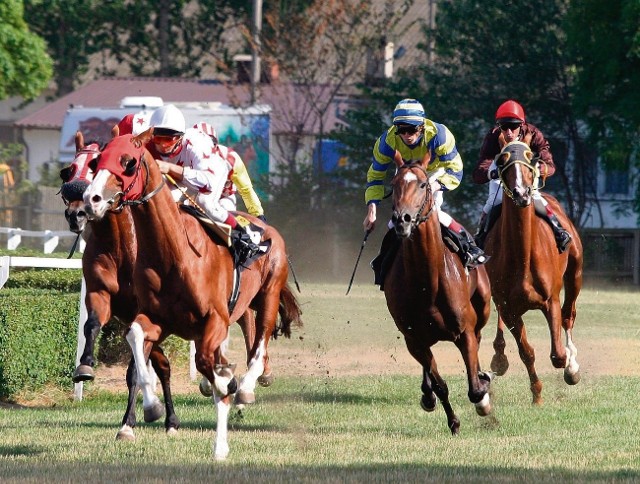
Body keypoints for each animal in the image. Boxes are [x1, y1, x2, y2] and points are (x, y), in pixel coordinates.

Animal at [82, 134, 302, 460]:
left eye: (128, 162)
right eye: (98, 161)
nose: (91, 199)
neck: (175, 253)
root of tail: (267, 227)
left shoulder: (215, 321)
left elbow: (211, 372)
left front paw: (220, 445)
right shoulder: (156, 319)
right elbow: (135, 338)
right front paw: (151, 408)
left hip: (268, 294)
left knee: (259, 344)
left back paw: (246, 387)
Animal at [384, 157, 496, 432]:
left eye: (423, 184)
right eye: (394, 183)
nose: (402, 219)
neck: (427, 282)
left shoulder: (464, 331)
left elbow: (475, 389)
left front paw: (483, 392)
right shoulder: (414, 339)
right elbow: (439, 384)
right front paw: (453, 421)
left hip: (483, 307)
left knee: (479, 337)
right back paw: (427, 394)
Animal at [484, 140, 584, 404]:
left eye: (531, 158)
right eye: (502, 161)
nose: (522, 193)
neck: (522, 257)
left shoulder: (550, 300)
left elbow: (558, 355)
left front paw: (570, 367)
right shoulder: (508, 307)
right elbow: (526, 352)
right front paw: (537, 394)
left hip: (575, 274)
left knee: (569, 314)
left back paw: (573, 366)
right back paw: (499, 358)